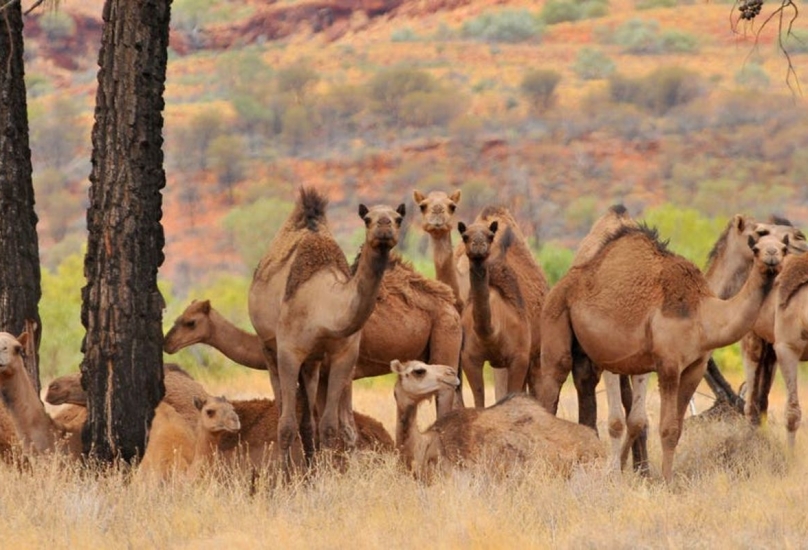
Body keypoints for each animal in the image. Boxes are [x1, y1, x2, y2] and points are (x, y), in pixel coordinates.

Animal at [246, 188, 404, 468]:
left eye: (398, 219)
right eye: (367, 219)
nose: (384, 227)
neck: (324, 307)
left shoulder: (344, 355)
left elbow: (329, 425)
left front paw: (325, 472)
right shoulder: (288, 352)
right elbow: (286, 424)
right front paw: (285, 474)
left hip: (313, 362)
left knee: (309, 418)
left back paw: (311, 465)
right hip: (268, 347)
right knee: (282, 408)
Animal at [536, 224, 784, 484]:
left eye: (784, 246)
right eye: (756, 247)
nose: (772, 255)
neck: (703, 314)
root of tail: (562, 282)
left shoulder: (695, 367)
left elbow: (675, 428)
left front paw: (656, 477)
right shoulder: (668, 365)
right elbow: (666, 428)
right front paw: (663, 481)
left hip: (588, 353)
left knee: (585, 382)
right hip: (555, 316)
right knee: (552, 381)